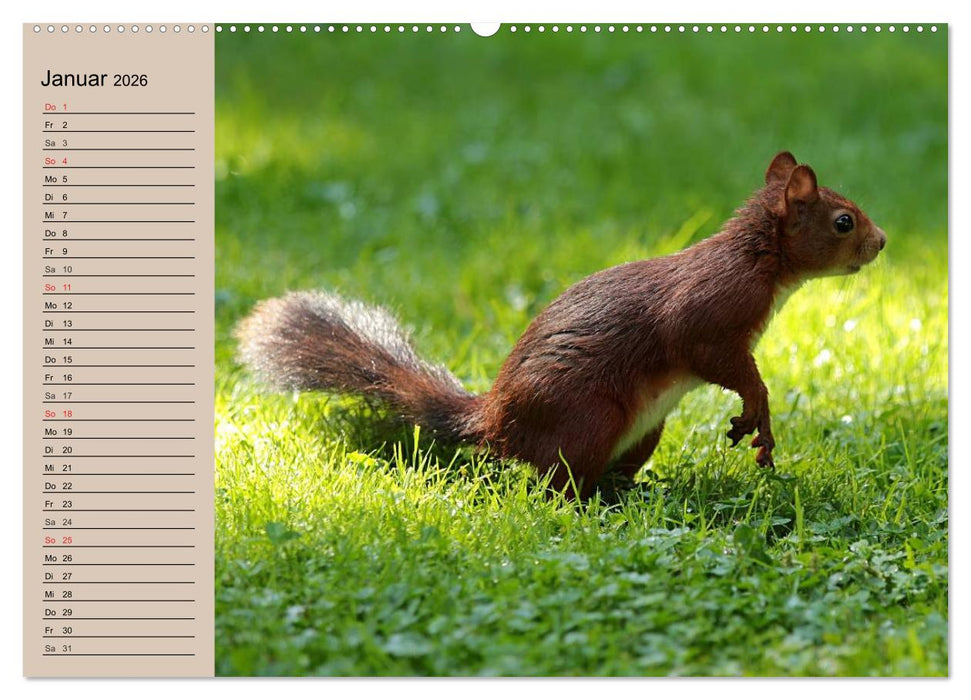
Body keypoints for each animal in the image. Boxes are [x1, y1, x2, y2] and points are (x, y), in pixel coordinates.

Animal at [236, 152, 887, 500]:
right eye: (843, 221)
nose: (881, 242)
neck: (759, 260)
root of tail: (495, 422)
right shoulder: (710, 316)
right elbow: (726, 364)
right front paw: (758, 413)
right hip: (589, 418)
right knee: (555, 486)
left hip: (643, 430)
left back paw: (637, 492)